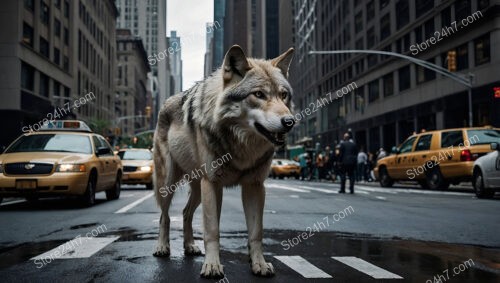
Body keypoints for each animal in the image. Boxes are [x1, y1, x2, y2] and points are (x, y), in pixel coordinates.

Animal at [150, 45, 294, 280]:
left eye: (283, 95)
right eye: (259, 94)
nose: (290, 122)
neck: (242, 145)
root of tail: (165, 102)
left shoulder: (254, 185)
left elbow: (256, 232)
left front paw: (259, 264)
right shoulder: (212, 184)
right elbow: (212, 230)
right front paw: (212, 266)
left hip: (197, 189)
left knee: (185, 213)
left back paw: (190, 246)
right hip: (168, 184)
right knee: (165, 216)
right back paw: (162, 247)